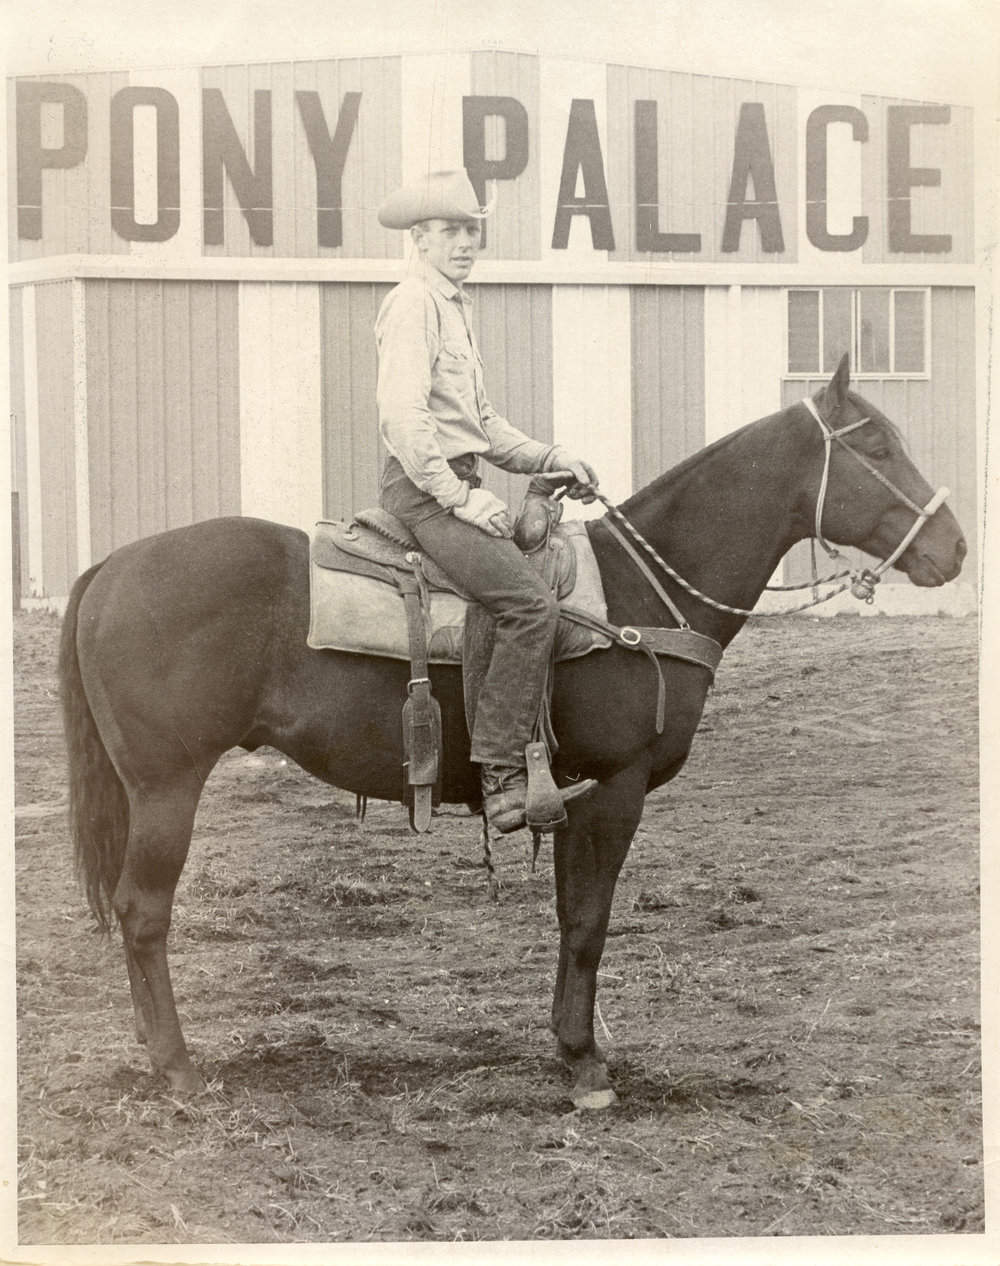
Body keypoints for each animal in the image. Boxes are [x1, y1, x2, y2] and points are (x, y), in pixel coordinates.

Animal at [58, 356, 966, 1108]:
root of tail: (112, 566)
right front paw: (587, 1067)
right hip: (167, 785)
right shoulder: (614, 788)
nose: (954, 548)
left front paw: (571, 1049)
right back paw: (178, 1069)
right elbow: (589, 922)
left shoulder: (572, 798)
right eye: (876, 446)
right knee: (143, 911)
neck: (637, 595)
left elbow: (571, 917)